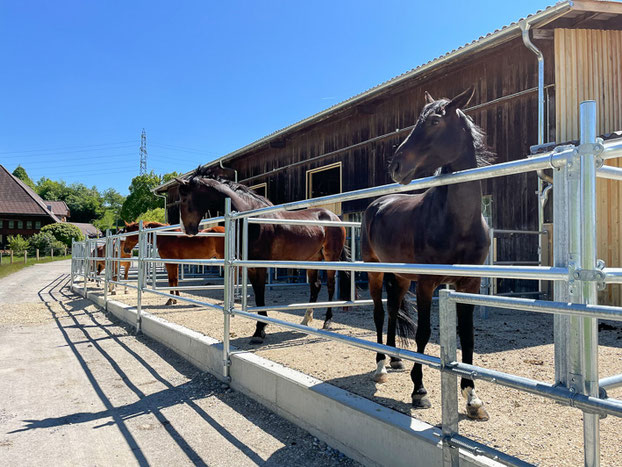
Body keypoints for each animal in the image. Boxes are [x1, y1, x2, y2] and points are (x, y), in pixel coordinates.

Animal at [177, 176, 352, 344]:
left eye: (184, 199)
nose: (188, 230)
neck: (252, 217)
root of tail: (334, 217)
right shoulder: (250, 266)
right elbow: (257, 294)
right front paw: (261, 327)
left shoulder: (259, 264)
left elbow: (260, 294)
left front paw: (259, 331)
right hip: (311, 260)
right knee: (315, 286)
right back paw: (305, 319)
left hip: (330, 258)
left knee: (330, 286)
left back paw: (327, 321)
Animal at [364, 87, 494, 420]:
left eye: (435, 121)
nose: (396, 166)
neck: (457, 223)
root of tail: (378, 204)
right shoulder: (426, 283)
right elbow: (423, 333)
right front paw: (419, 391)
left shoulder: (469, 285)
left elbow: (467, 336)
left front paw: (473, 398)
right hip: (375, 271)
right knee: (379, 313)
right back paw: (381, 366)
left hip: (399, 277)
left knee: (393, 310)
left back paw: (396, 359)